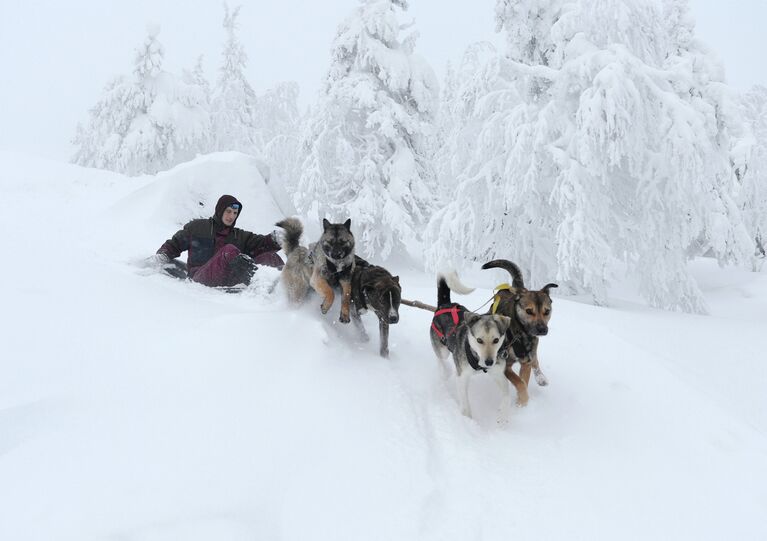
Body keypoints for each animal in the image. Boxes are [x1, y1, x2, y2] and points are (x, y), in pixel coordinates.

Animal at [480, 258, 560, 404]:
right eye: (529, 311)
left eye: (547, 311)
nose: (542, 330)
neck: (521, 334)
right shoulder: (505, 365)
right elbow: (519, 382)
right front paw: (522, 401)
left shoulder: (526, 362)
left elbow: (524, 380)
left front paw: (522, 403)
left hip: (533, 348)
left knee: (535, 360)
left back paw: (541, 377)